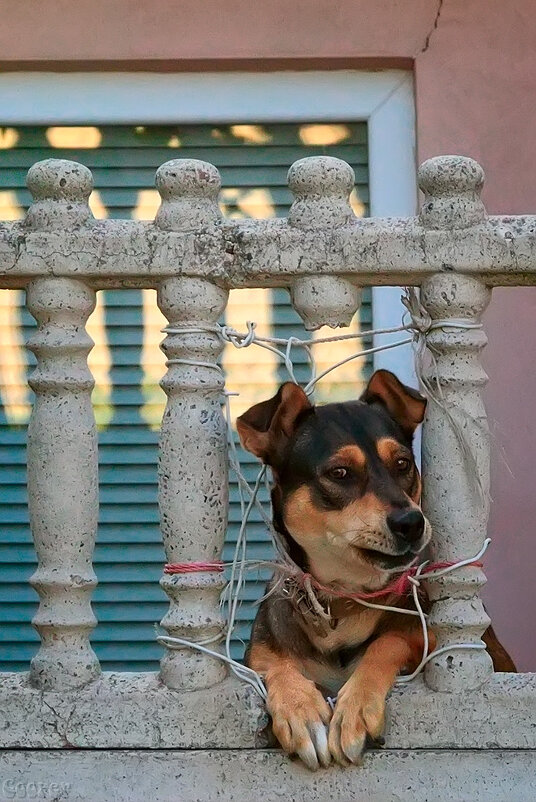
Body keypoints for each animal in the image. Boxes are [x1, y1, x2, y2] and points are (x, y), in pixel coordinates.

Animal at [238, 368, 516, 768]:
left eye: (402, 464)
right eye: (339, 473)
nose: (411, 523)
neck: (342, 602)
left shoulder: (455, 646)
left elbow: (391, 639)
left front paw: (354, 708)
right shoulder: (258, 654)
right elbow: (274, 662)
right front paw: (299, 709)